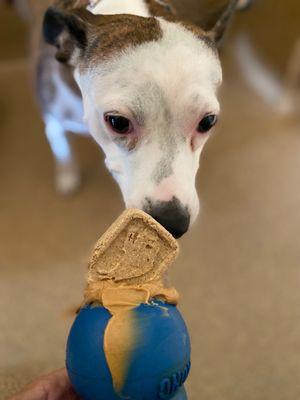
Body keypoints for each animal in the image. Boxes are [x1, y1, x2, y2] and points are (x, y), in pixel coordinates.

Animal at [11, 0, 247, 238]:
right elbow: (63, 150)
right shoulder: (54, 122)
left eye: (208, 122)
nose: (171, 221)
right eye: (118, 122)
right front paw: (67, 176)